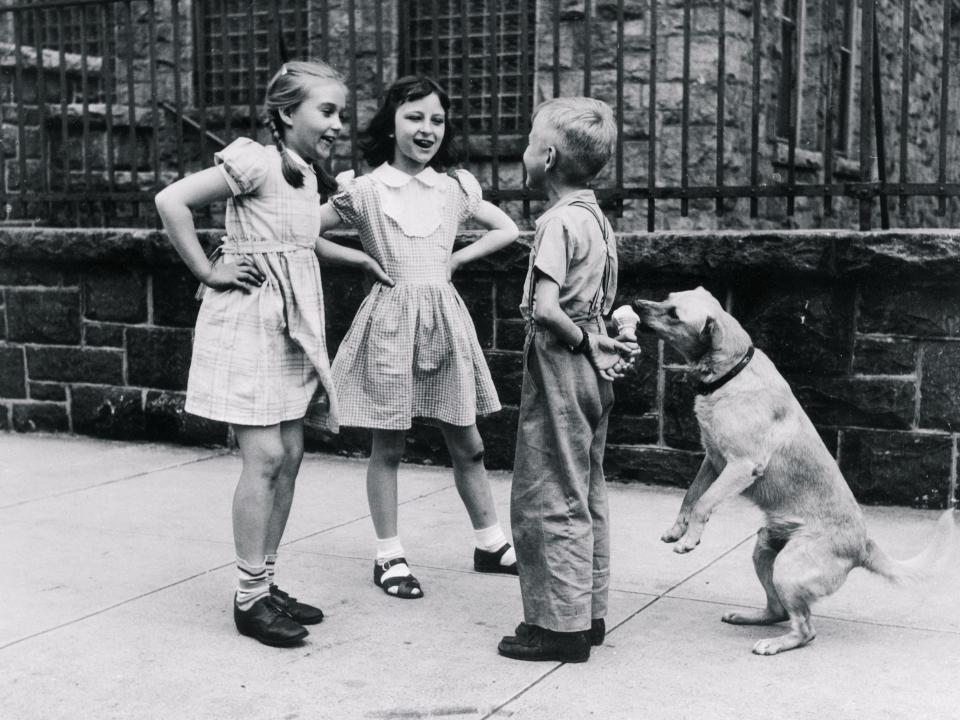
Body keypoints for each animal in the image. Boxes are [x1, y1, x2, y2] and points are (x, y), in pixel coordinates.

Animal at [632, 286, 956, 652]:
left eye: (674, 314)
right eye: (667, 297)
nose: (635, 303)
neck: (731, 373)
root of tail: (862, 545)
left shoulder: (740, 466)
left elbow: (703, 503)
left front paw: (689, 540)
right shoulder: (712, 460)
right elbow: (690, 497)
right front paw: (677, 530)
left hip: (788, 568)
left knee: (804, 629)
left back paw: (774, 644)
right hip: (764, 550)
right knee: (777, 611)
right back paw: (750, 618)